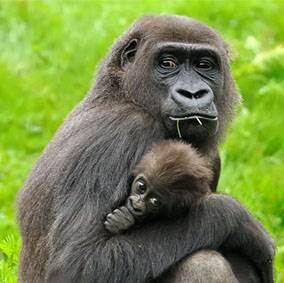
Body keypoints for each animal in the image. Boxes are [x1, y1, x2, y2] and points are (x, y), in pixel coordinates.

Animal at [16, 15, 274, 283]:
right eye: (168, 63)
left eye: (204, 65)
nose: (193, 93)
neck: (122, 94)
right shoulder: (123, 133)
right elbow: (79, 264)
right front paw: (235, 216)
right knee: (205, 263)